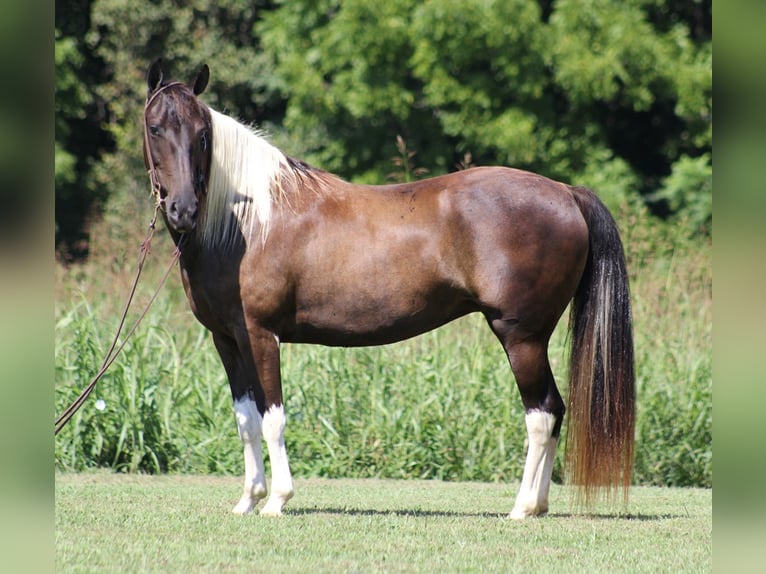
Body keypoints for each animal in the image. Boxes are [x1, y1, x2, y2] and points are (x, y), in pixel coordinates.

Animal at [142, 60, 636, 520]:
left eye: (203, 134)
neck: (247, 223)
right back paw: (539, 505)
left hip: (522, 337)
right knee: (554, 412)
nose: (183, 209)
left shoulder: (262, 336)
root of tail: (566, 192)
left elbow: (273, 418)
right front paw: (248, 499)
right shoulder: (227, 339)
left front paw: (277, 499)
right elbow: (246, 419)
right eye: (155, 127)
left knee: (542, 412)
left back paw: (522, 506)